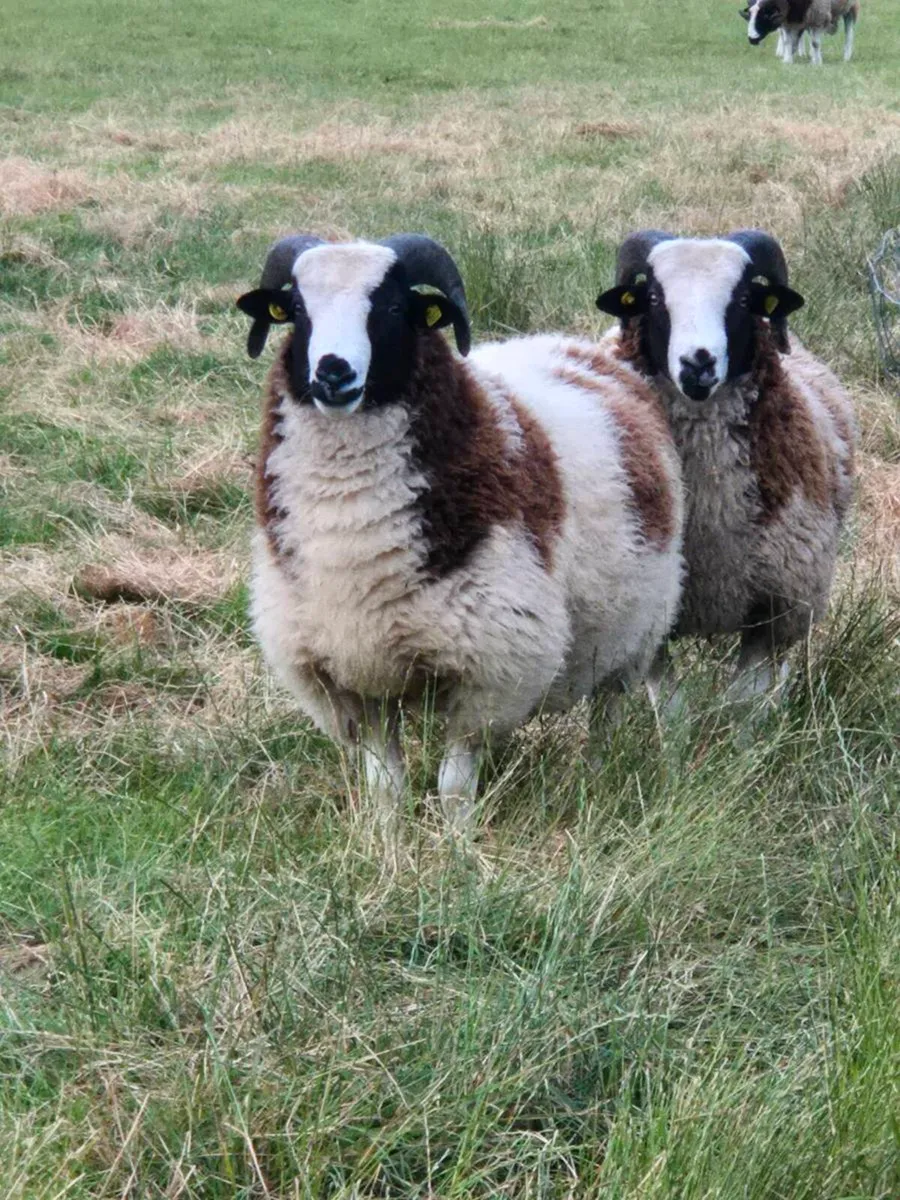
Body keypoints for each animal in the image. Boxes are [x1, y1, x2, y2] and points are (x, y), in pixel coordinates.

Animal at [237, 232, 684, 835]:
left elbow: (452, 786)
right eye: (299, 310)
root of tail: (575, 348)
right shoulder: (353, 674)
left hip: (631, 635)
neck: (350, 526)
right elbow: (386, 786)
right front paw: (388, 842)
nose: (332, 372)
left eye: (392, 308)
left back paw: (595, 774)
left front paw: (457, 846)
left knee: (607, 713)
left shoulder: (491, 670)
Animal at [596, 229, 855, 699]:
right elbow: (672, 705)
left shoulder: (774, 609)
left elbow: (744, 703)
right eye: (655, 297)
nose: (697, 363)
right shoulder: (654, 613)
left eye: (742, 298)